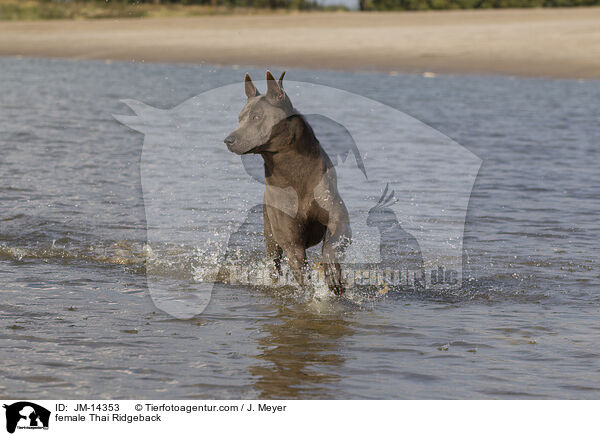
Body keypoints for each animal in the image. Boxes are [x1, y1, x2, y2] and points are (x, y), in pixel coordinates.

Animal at [223, 71, 350, 296]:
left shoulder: (336, 212)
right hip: (269, 229)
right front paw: (311, 294)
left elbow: (332, 242)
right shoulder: (290, 239)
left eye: (256, 117)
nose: (229, 140)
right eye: (240, 118)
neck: (293, 172)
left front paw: (333, 275)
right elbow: (300, 267)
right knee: (274, 261)